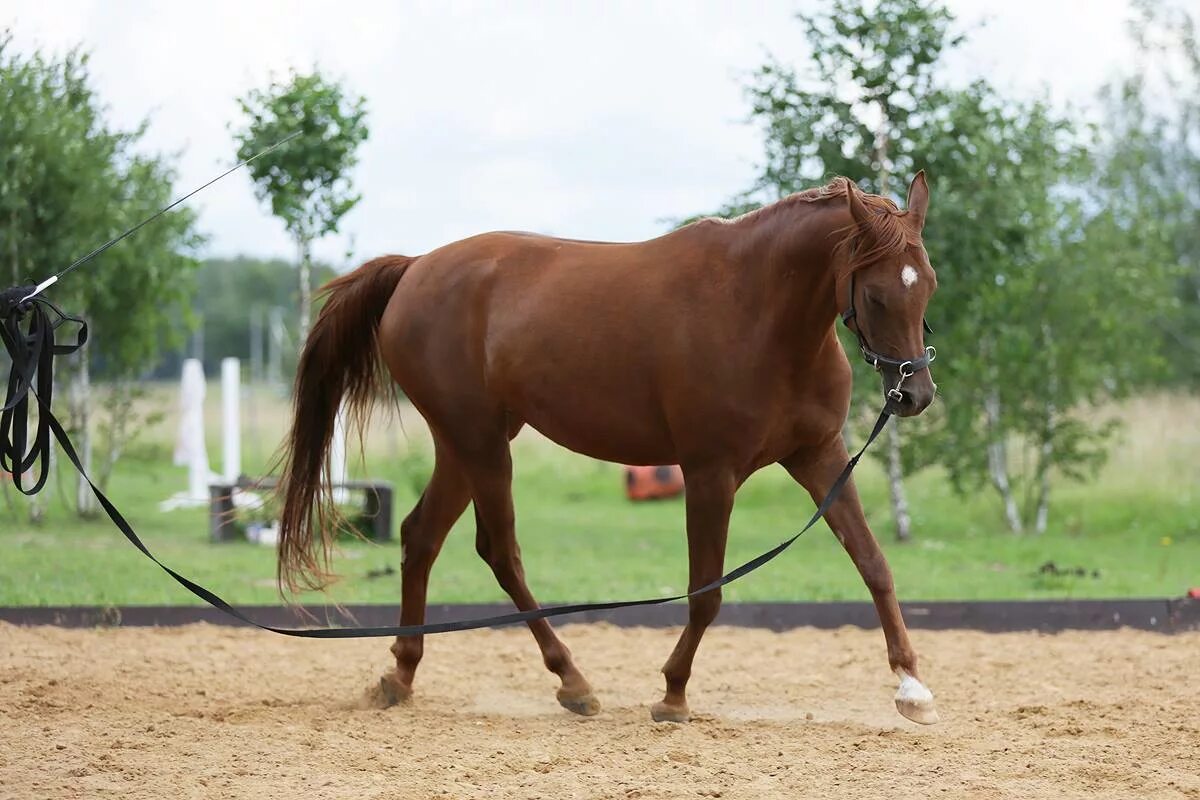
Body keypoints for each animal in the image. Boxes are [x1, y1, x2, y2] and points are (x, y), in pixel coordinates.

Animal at [278, 172, 936, 724]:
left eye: (926, 285)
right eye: (876, 295)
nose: (913, 395)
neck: (759, 313)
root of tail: (415, 268)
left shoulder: (819, 458)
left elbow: (874, 564)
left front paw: (912, 687)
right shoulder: (710, 473)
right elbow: (707, 594)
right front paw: (673, 693)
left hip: (464, 444)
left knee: (421, 537)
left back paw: (402, 675)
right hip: (481, 444)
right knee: (500, 552)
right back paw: (572, 681)